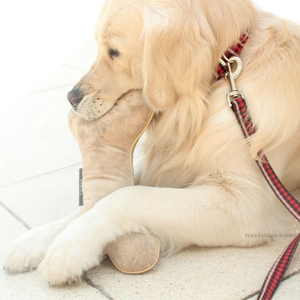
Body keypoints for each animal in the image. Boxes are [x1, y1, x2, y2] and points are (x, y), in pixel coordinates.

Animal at [3, 0, 300, 286]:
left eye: (114, 51)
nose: (70, 98)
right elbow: (96, 200)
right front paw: (34, 241)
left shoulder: (247, 205)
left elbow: (127, 195)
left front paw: (70, 247)